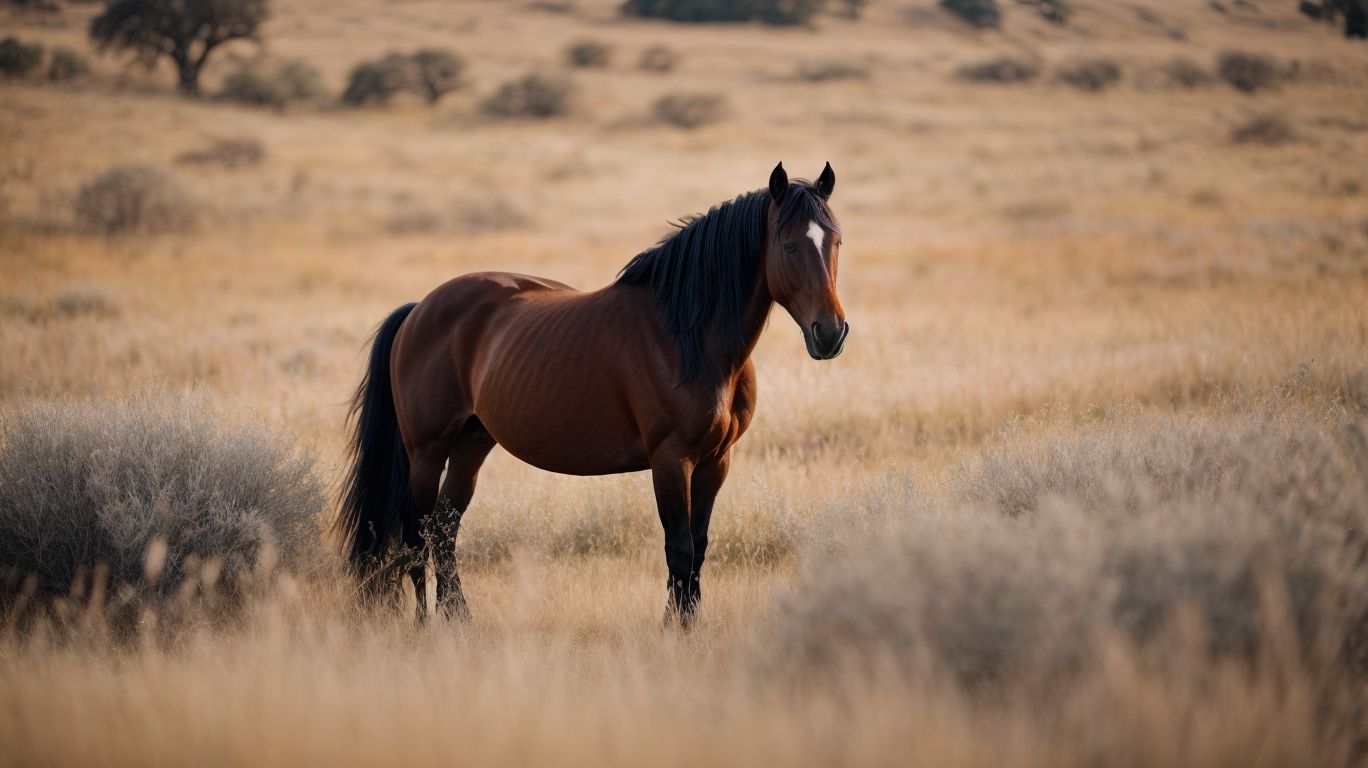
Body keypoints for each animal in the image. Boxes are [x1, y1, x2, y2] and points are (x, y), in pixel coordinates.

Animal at [336, 162, 847, 626]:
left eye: (836, 241)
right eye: (788, 244)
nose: (830, 333)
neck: (689, 338)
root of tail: (419, 309)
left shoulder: (715, 461)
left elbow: (698, 549)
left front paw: (688, 623)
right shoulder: (671, 460)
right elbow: (679, 549)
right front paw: (676, 630)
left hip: (471, 445)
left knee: (444, 531)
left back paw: (459, 619)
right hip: (427, 451)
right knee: (418, 536)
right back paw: (426, 625)